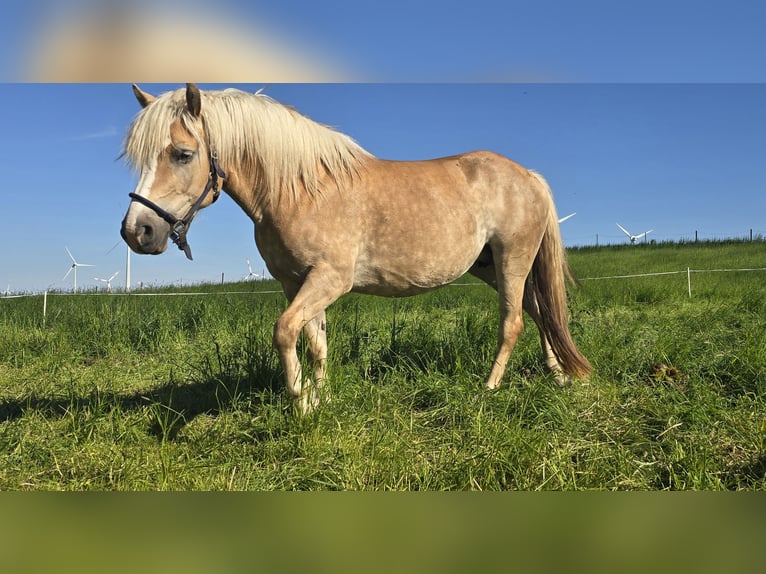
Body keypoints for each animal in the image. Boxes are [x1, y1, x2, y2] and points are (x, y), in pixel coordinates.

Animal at [120, 83, 592, 414]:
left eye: (183, 154)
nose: (136, 232)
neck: (300, 190)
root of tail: (529, 176)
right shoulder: (296, 283)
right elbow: (315, 342)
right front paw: (322, 399)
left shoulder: (330, 279)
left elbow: (284, 331)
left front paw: (301, 405)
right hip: (490, 266)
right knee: (540, 312)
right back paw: (558, 376)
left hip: (512, 260)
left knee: (513, 323)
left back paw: (489, 389)